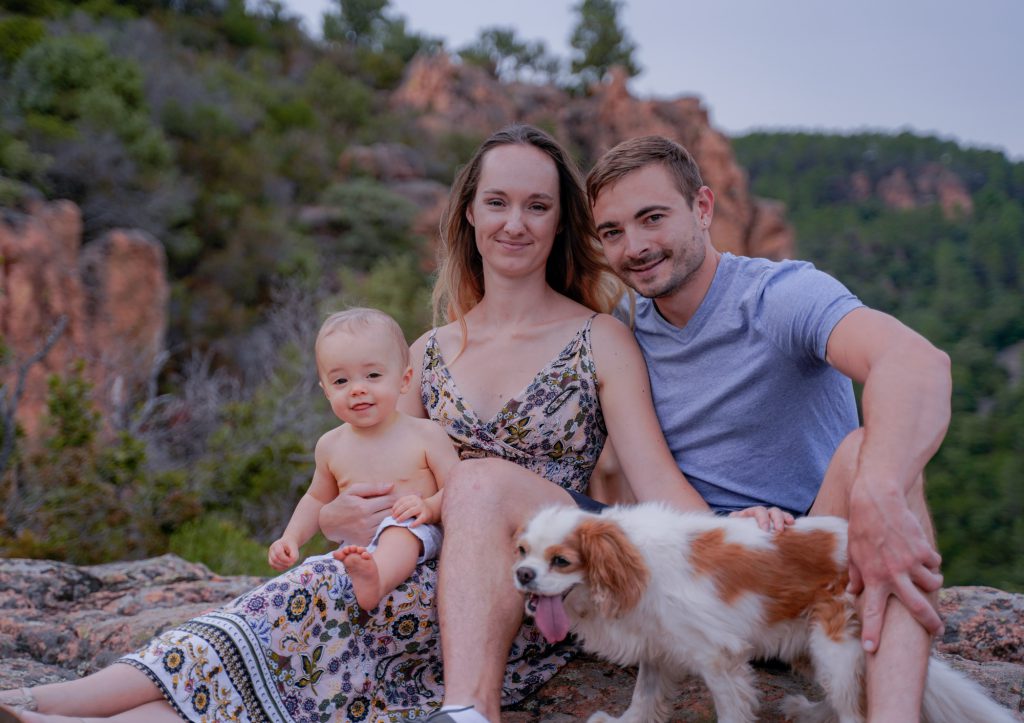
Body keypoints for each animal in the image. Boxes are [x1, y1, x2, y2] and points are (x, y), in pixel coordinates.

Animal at [516, 501, 1011, 720]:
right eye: (522, 551)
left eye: (561, 561)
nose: (521, 574)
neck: (630, 561)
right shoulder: (659, 647)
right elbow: (645, 697)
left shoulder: (718, 657)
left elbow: (730, 710)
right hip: (811, 646)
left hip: (835, 642)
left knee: (854, 706)